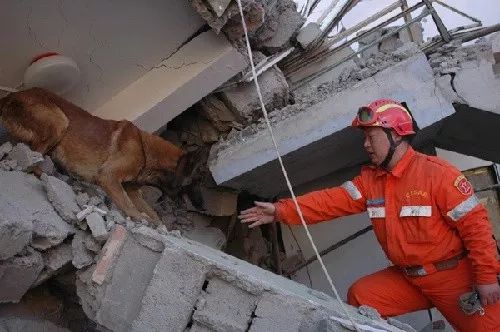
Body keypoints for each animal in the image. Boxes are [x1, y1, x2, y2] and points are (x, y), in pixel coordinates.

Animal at [0, 87, 187, 224]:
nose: (183, 203)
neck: (145, 149)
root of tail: (10, 96)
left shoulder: (132, 190)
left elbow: (151, 211)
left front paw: (160, 225)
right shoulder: (109, 177)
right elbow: (130, 206)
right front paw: (141, 218)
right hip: (59, 121)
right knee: (32, 159)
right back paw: (51, 176)